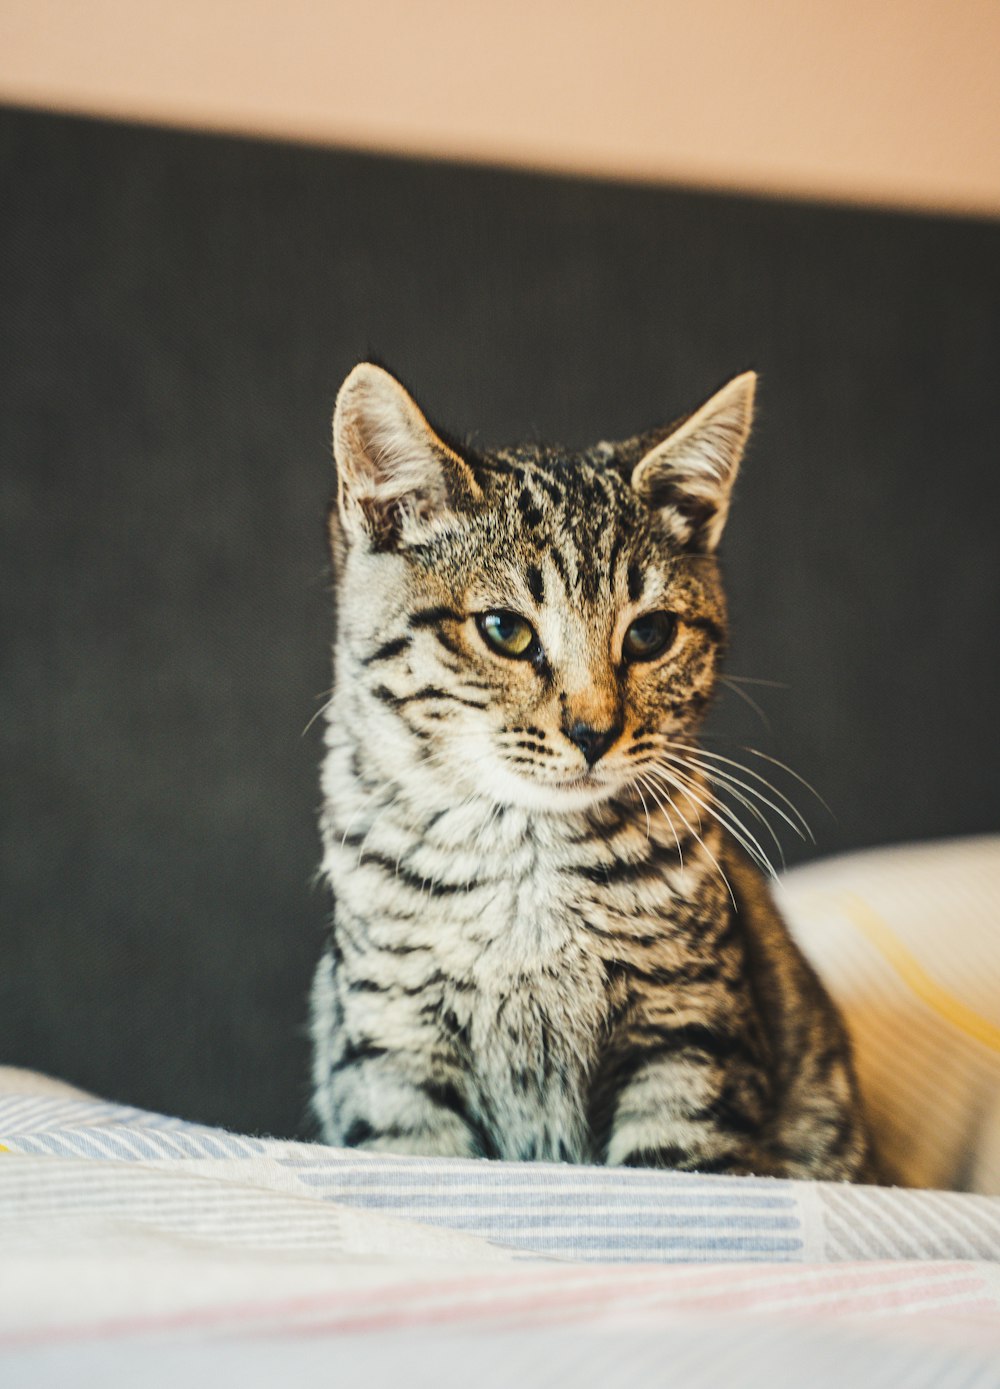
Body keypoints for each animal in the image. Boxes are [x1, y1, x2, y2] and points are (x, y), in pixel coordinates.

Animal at [311, 363, 877, 1177]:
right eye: (505, 630)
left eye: (650, 634)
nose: (593, 731)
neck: (526, 861)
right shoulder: (392, 1049)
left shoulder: (688, 1036)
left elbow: (678, 1167)